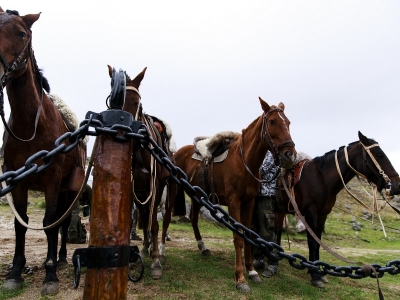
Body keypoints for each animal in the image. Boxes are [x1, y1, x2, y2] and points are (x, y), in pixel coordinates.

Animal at [0, 8, 86, 296]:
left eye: (21, 33)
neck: (30, 125)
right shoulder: (18, 180)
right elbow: (21, 223)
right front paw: (15, 272)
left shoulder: (52, 180)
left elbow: (49, 222)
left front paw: (50, 275)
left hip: (67, 190)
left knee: (61, 223)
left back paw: (60, 260)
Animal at [106, 65, 175, 278]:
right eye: (112, 102)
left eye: (137, 103)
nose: (122, 132)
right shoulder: (132, 187)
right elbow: (133, 221)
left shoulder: (157, 186)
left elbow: (154, 224)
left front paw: (156, 262)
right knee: (144, 218)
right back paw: (145, 247)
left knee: (163, 221)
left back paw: (160, 252)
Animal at [159, 99, 296, 292]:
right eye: (272, 122)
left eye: (288, 123)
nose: (290, 155)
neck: (244, 162)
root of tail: (175, 153)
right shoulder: (234, 202)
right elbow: (238, 238)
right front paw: (240, 279)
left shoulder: (249, 202)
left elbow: (248, 237)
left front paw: (252, 271)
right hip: (173, 190)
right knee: (166, 218)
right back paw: (162, 252)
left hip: (196, 195)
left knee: (193, 218)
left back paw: (203, 247)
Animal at [276, 131, 400, 288]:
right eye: (379, 154)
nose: (397, 185)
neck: (321, 179)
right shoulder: (311, 213)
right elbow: (312, 242)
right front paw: (315, 276)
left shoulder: (322, 214)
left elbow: (318, 242)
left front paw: (318, 272)